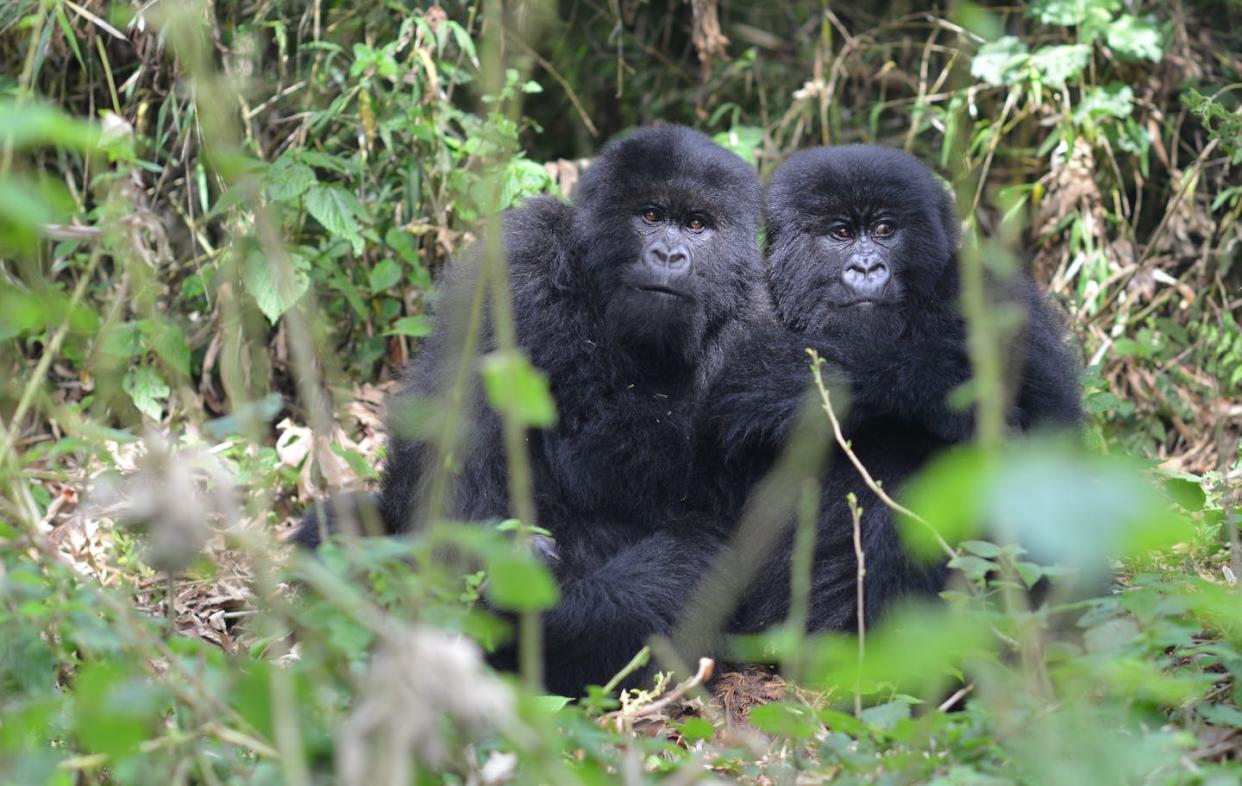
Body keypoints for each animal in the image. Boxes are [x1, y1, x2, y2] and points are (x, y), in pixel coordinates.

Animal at [298, 125, 765, 695]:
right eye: (651, 215)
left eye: (698, 225)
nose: (670, 255)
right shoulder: (519, 257)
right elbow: (452, 417)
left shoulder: (761, 334)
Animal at [715, 145, 1083, 635]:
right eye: (840, 233)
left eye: (885, 230)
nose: (867, 266)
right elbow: (743, 387)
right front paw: (935, 383)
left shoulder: (999, 305)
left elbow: (1052, 441)